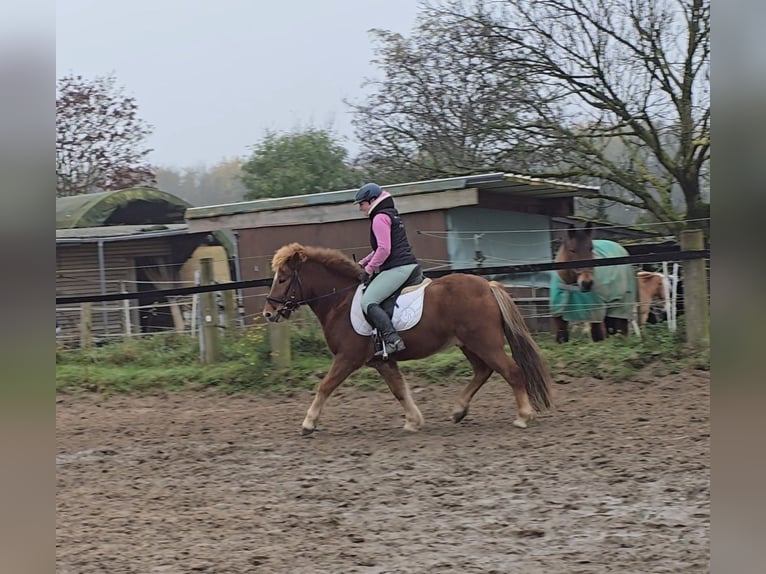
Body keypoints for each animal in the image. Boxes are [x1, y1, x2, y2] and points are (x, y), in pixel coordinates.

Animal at [262, 243, 552, 436]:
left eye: (283, 279)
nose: (268, 313)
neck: (340, 301)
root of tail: (487, 286)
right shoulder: (381, 361)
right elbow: (399, 390)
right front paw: (413, 421)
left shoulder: (348, 358)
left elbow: (324, 386)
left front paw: (308, 423)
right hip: (469, 344)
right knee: (483, 371)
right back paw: (458, 410)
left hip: (485, 343)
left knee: (511, 371)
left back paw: (523, 416)